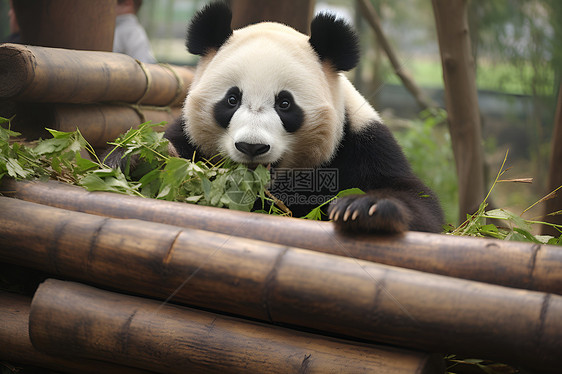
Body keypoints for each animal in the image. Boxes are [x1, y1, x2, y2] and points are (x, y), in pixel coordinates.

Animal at [164, 1, 444, 232]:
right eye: (232, 100)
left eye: (285, 104)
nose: (252, 146)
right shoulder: (188, 135)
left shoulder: (363, 144)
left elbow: (418, 201)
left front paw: (366, 209)